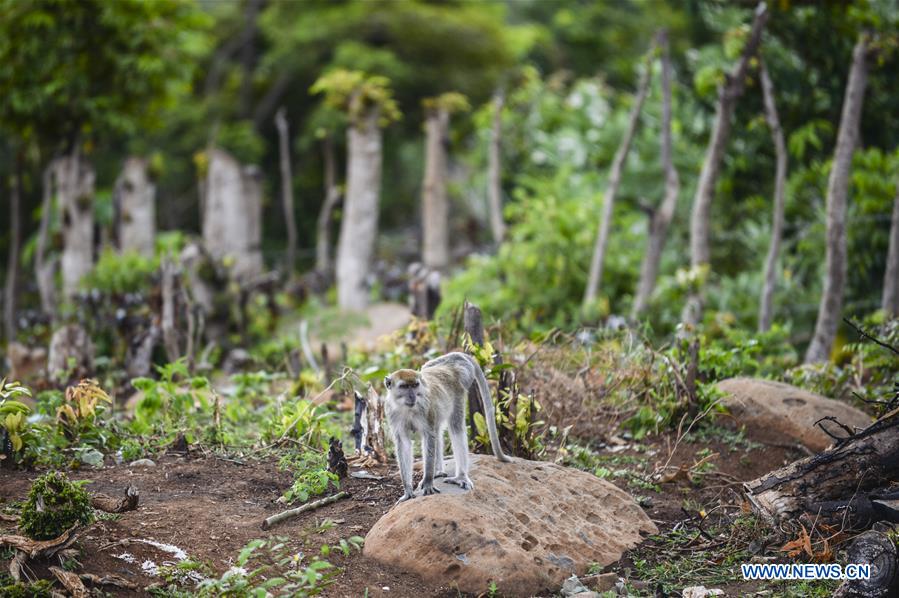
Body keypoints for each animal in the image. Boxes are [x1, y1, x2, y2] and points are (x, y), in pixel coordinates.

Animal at [384, 354, 512, 504]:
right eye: (404, 386)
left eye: (415, 385)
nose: (412, 396)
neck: (407, 408)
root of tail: (455, 358)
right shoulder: (392, 413)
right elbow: (404, 442)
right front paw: (408, 490)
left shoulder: (426, 409)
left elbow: (429, 436)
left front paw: (428, 482)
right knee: (438, 430)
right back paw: (438, 471)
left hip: (460, 386)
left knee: (456, 426)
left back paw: (460, 476)